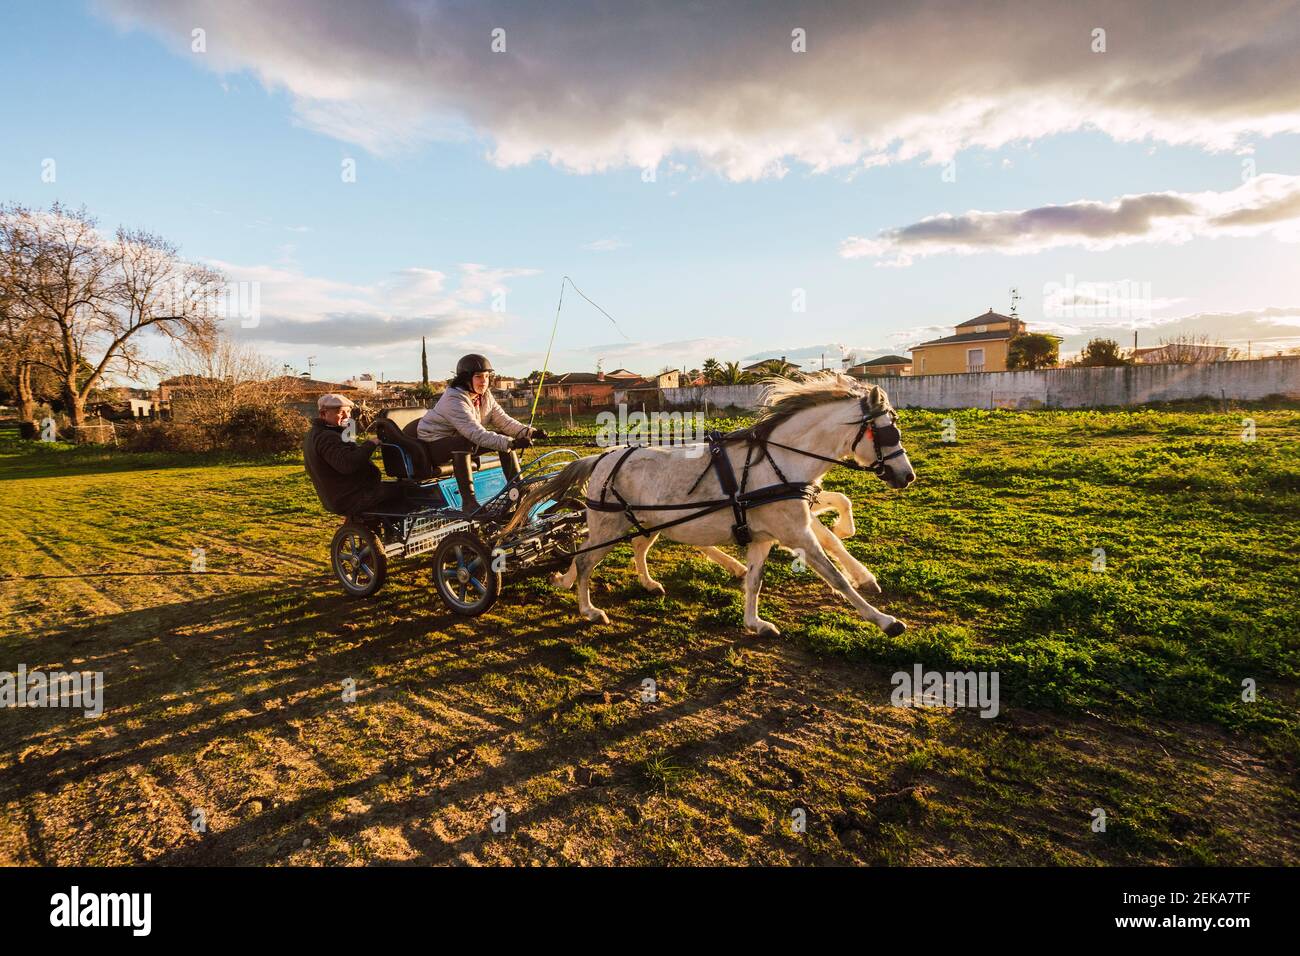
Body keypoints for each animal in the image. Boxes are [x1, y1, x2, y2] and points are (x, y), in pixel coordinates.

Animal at [506, 377, 915, 639]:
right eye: (888, 432)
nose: (907, 475)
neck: (780, 462)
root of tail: (603, 457)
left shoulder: (764, 537)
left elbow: (755, 579)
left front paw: (754, 623)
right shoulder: (797, 535)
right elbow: (835, 577)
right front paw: (884, 620)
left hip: (643, 523)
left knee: (631, 548)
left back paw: (643, 583)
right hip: (610, 527)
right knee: (586, 559)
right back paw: (588, 609)